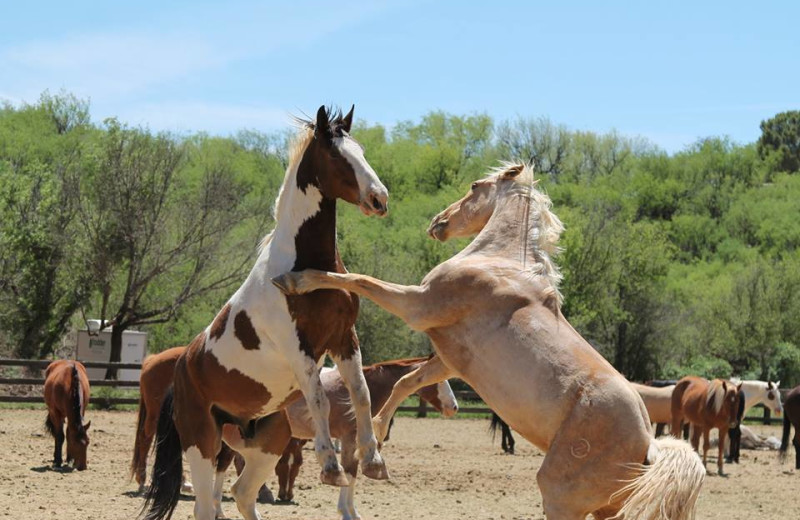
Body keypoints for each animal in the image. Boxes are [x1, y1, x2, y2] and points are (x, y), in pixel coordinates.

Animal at [148, 104, 394, 520]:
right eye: (335, 155)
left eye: (361, 150)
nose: (379, 199)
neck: (302, 264)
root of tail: (181, 371)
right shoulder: (299, 347)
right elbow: (319, 400)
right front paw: (331, 467)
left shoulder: (344, 338)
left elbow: (360, 393)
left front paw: (374, 460)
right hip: (203, 444)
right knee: (205, 504)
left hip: (264, 444)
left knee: (242, 493)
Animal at [272, 162, 704, 520]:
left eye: (475, 186)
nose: (438, 222)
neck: (499, 264)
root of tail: (649, 446)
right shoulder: (449, 357)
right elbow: (407, 381)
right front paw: (374, 439)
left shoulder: (418, 304)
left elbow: (356, 279)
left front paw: (296, 279)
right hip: (605, 509)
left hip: (561, 498)